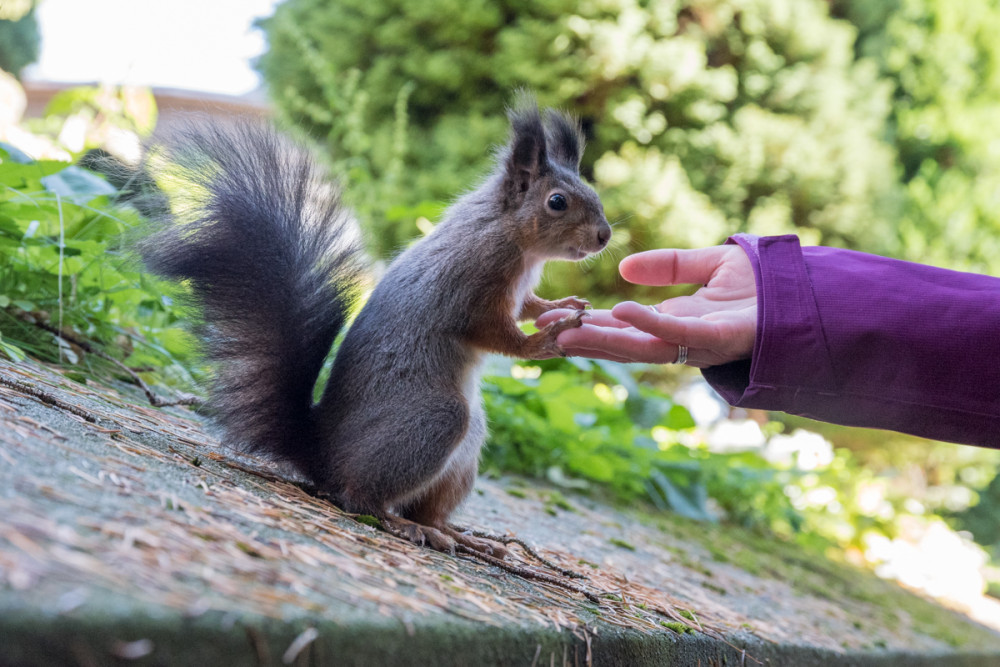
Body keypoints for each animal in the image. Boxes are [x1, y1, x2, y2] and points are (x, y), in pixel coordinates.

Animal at [135, 100, 608, 560]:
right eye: (558, 202)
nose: (604, 236)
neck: (515, 238)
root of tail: (321, 454)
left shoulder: (517, 291)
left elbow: (528, 306)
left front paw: (561, 306)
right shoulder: (471, 285)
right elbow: (496, 334)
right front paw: (543, 341)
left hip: (464, 448)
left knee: (426, 507)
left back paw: (455, 534)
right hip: (433, 422)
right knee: (359, 497)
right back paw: (403, 524)